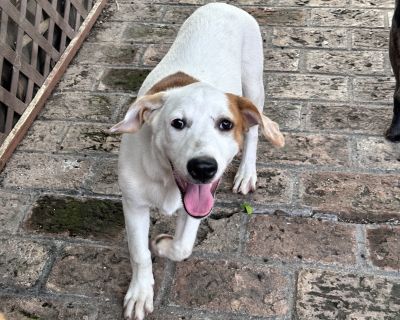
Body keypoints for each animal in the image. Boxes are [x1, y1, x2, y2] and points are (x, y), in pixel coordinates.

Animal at [109, 3, 284, 320]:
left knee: (254, 131)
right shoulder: (133, 203)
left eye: (226, 124)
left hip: (254, 83)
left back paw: (246, 172)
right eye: (177, 123)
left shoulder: (199, 204)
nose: (203, 168)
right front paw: (141, 292)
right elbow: (140, 254)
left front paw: (161, 244)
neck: (166, 178)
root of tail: (223, 5)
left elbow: (181, 247)